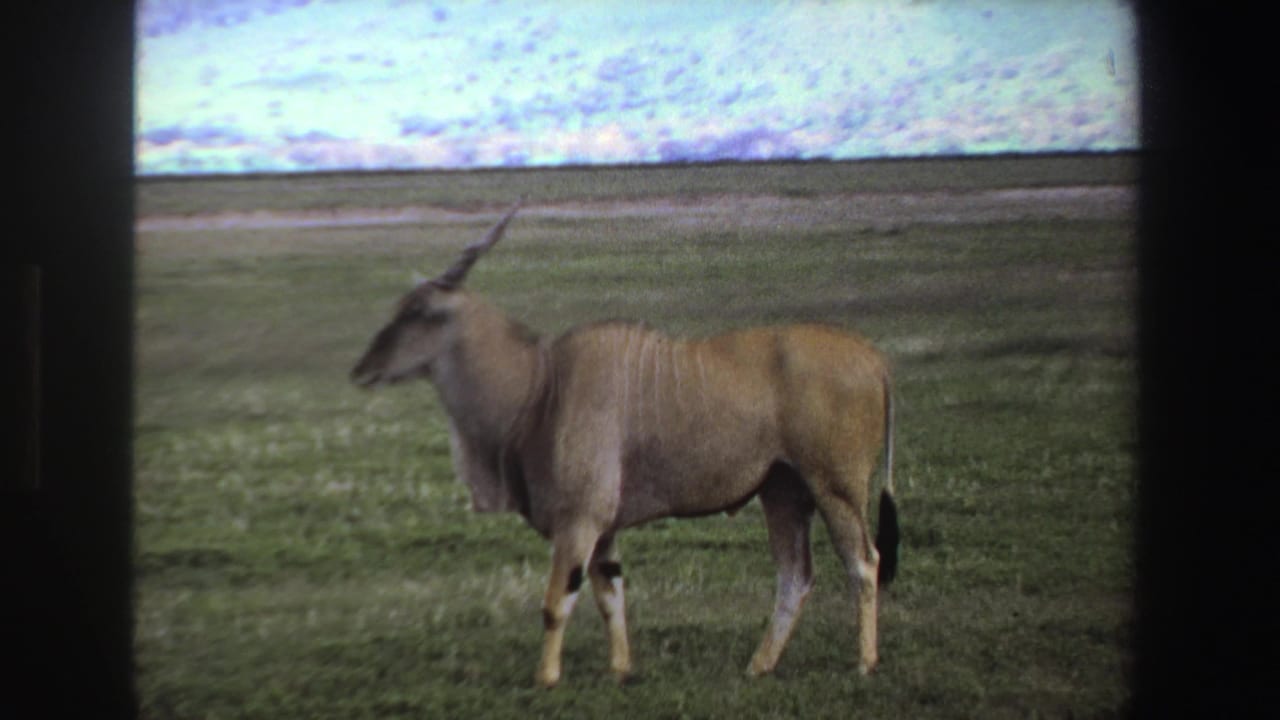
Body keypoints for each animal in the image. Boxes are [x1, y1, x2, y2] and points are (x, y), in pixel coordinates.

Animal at [350, 202, 899, 687]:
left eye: (418, 312)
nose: (362, 369)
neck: (540, 386)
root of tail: (873, 358)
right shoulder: (604, 530)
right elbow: (610, 595)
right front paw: (621, 670)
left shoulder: (578, 522)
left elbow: (556, 602)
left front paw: (546, 678)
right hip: (783, 491)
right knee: (795, 576)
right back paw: (759, 665)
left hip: (834, 488)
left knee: (864, 562)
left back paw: (865, 663)